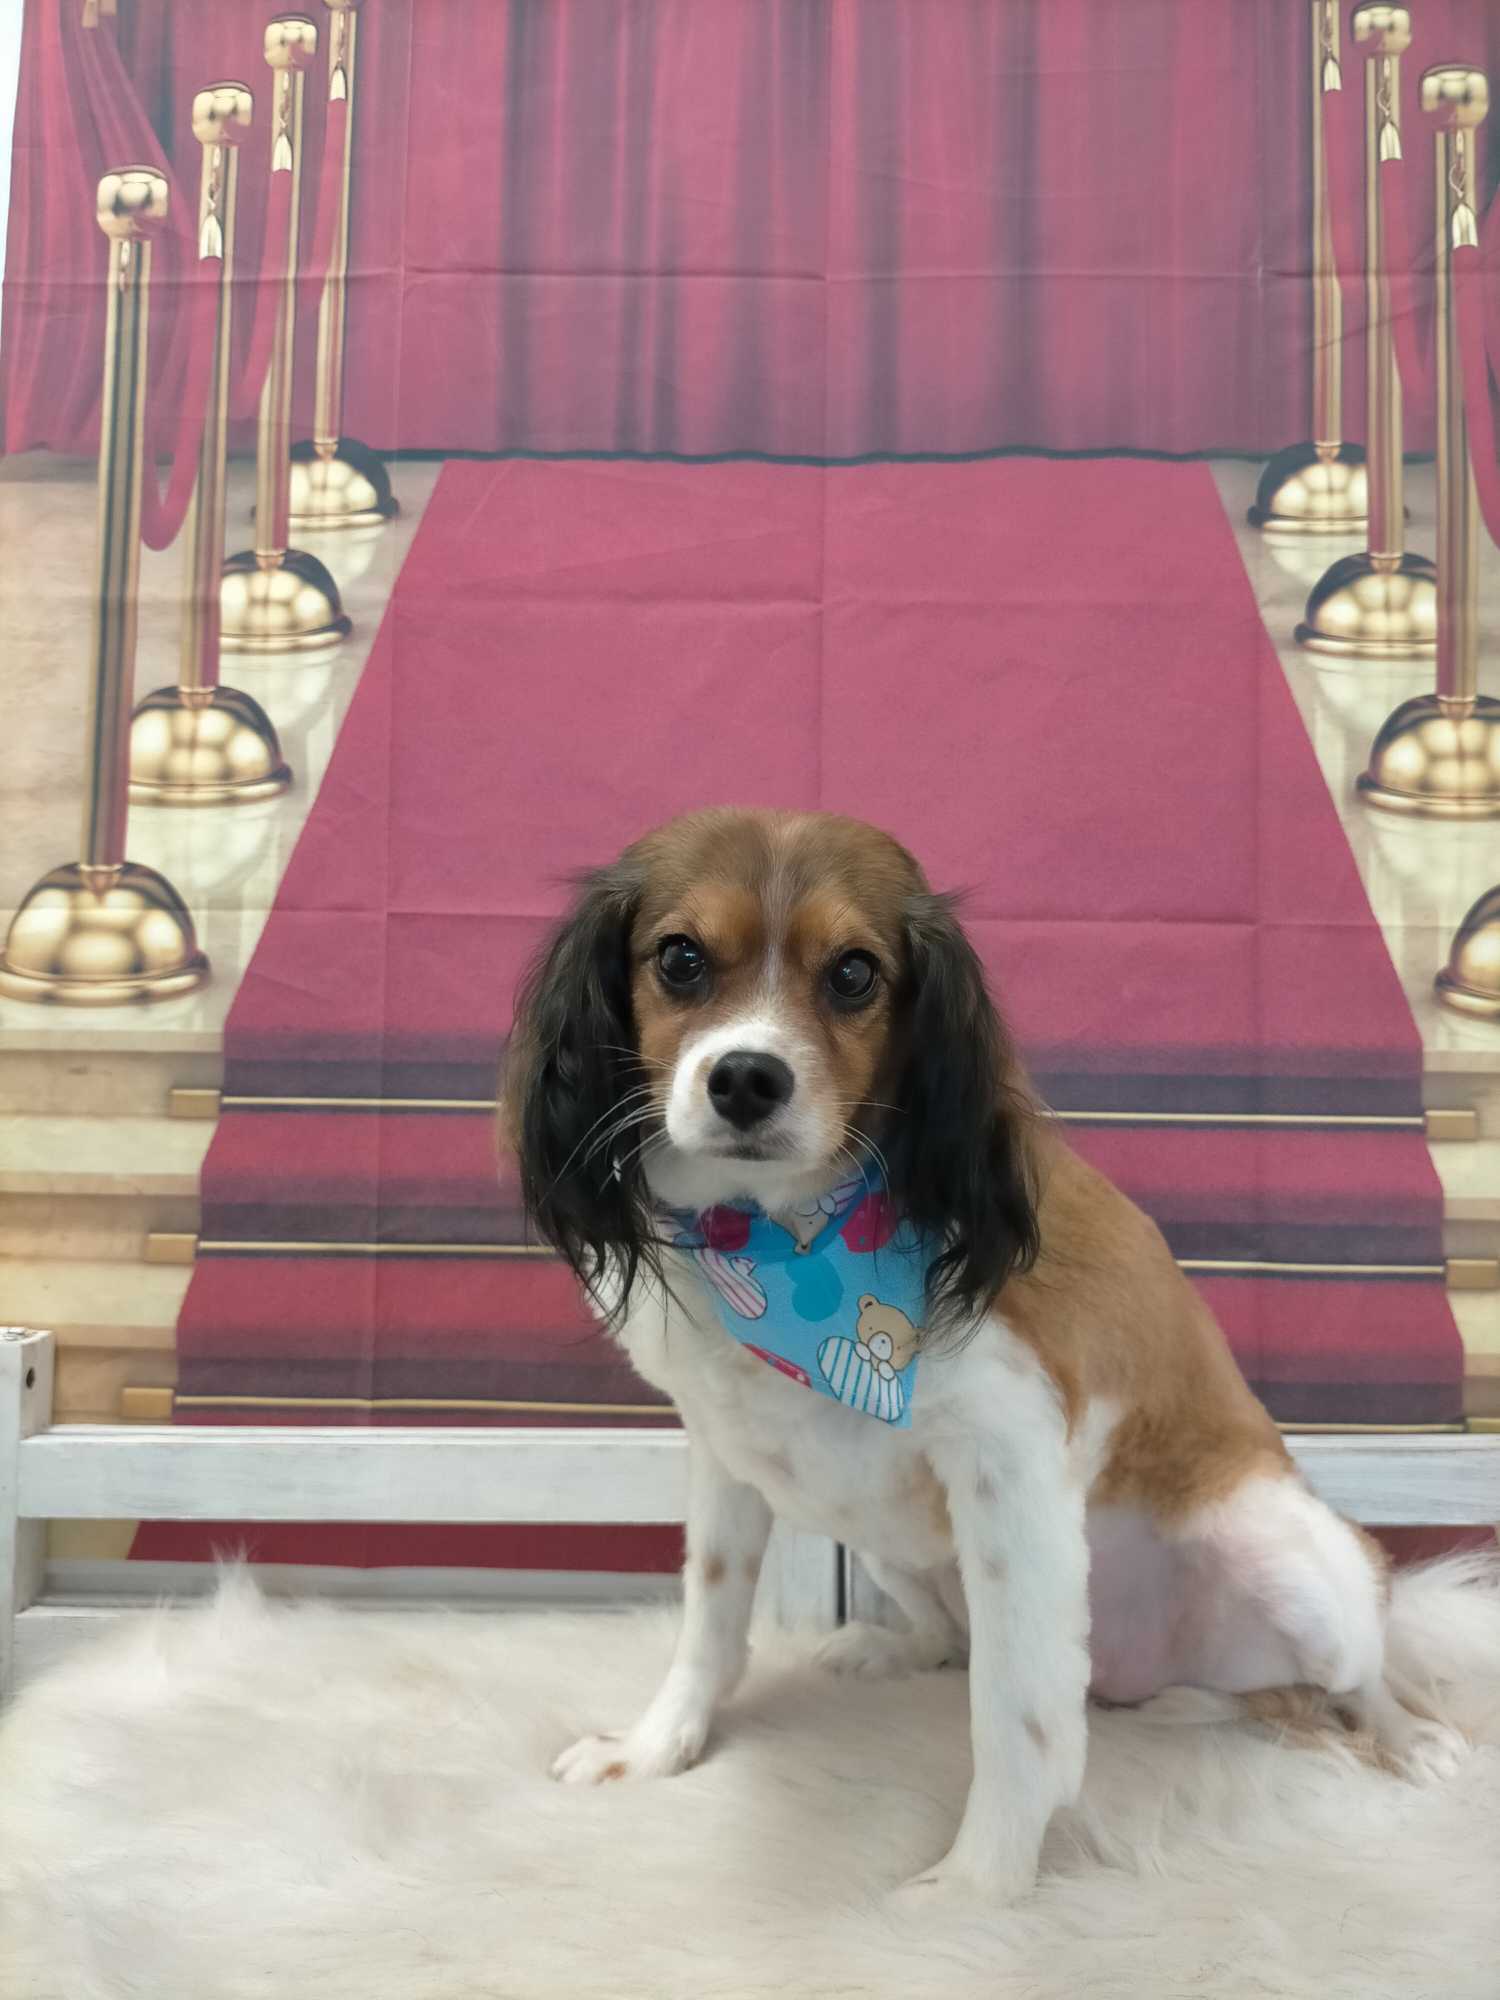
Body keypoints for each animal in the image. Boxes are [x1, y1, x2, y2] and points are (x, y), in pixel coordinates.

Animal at [503, 807, 1464, 1905]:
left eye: (854, 973)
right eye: (680, 958)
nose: (746, 1077)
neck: (781, 1243)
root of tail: (1139, 1676)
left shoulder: (1012, 1473)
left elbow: (1018, 1714)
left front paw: (976, 1888)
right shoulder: (727, 1451)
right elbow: (711, 1618)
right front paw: (659, 1746)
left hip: (1293, 1563)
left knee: (1360, 1666)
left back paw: (1410, 1734)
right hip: (884, 1534)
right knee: (953, 1637)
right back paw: (892, 1645)